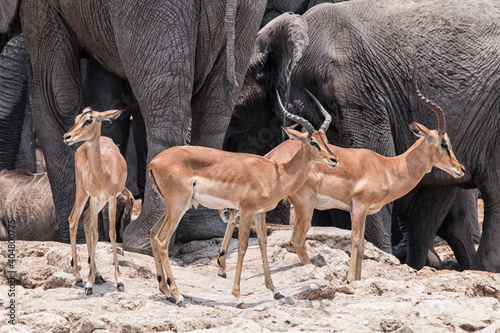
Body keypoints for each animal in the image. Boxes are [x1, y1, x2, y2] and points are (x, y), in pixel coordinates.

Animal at [0, 0, 270, 252]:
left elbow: (55, 96)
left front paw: (79, 238)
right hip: (246, 16)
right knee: (214, 109)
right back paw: (202, 233)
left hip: (152, 12)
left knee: (164, 107)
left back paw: (143, 241)